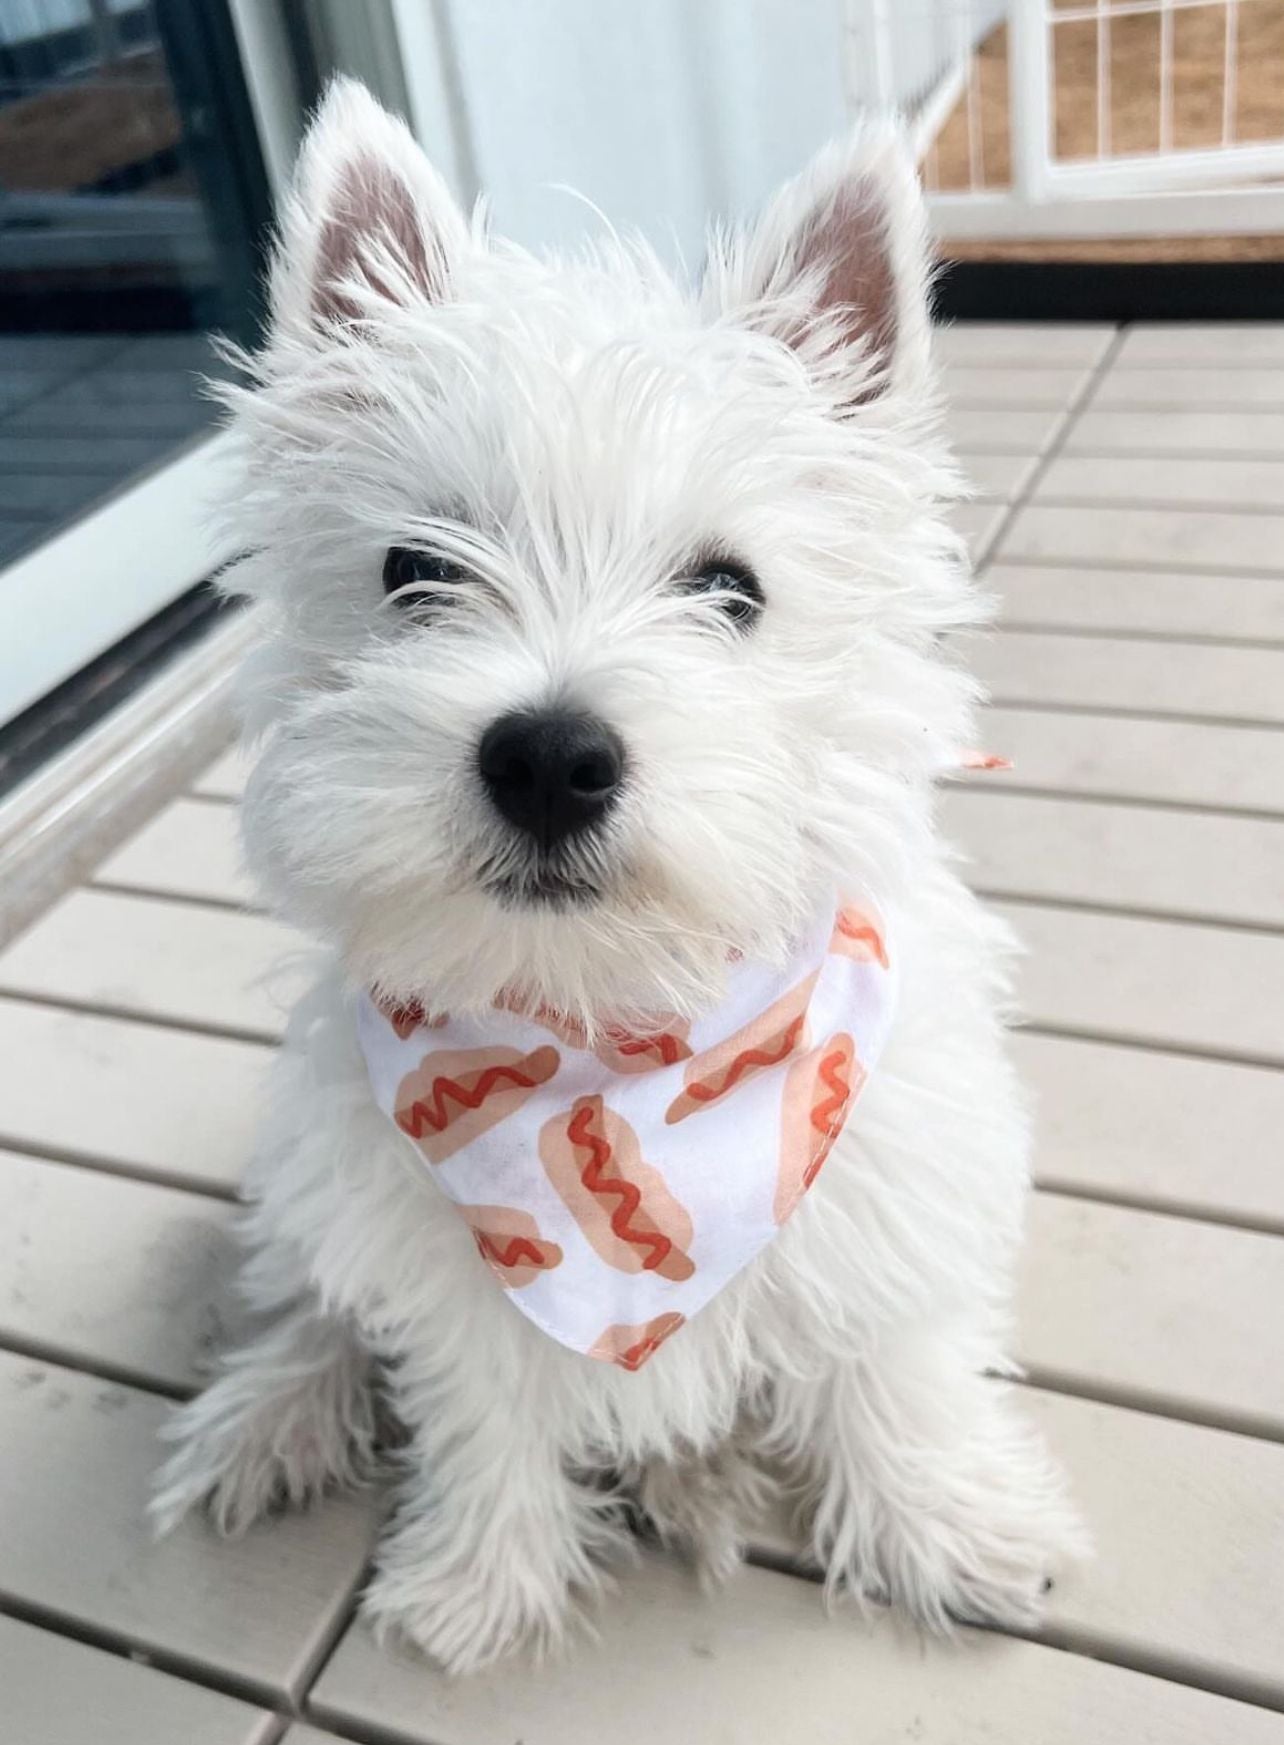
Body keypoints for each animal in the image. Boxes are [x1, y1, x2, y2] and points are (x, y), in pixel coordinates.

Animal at [155, 82, 1088, 1675]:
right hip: (303, 1149)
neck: (605, 1037)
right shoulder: (448, 1268)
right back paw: (264, 1419)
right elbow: (478, 1403)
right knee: (305, 1293)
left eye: (730, 588)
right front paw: (479, 1580)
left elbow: (895, 1362)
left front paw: (953, 1531)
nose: (548, 757)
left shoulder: (892, 1179)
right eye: (414, 569)